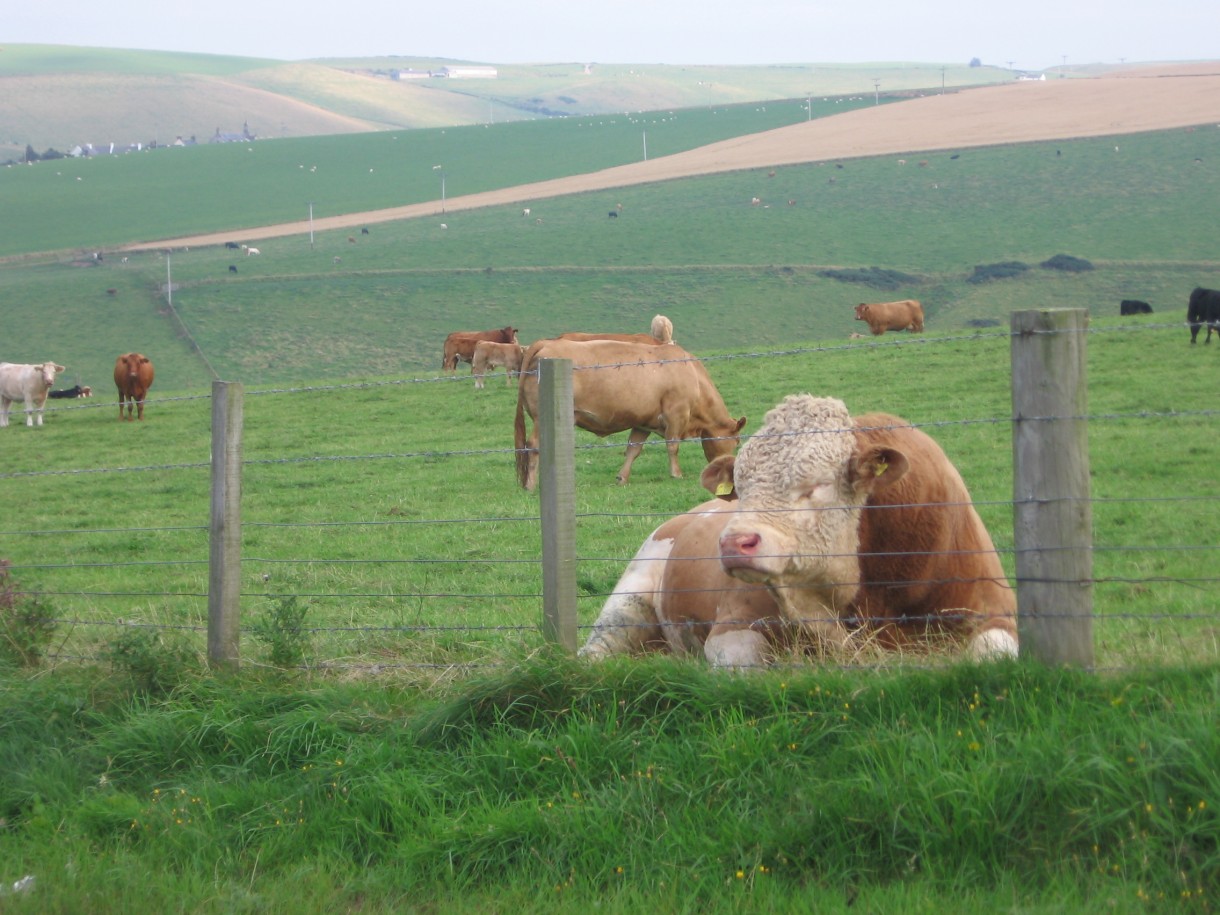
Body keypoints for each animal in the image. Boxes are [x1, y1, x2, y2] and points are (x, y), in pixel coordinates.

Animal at [512, 336, 741, 490]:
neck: (692, 376)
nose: (730, 473)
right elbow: (673, 446)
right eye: (737, 442)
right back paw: (530, 485)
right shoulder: (676, 414)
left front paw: (622, 477)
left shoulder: (643, 423)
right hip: (541, 419)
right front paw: (676, 474)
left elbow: (633, 449)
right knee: (533, 446)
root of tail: (545, 343)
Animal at [575, 392, 1015, 668]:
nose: (733, 542)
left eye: (814, 487)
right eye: (740, 489)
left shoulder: (998, 611)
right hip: (626, 606)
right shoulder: (734, 626)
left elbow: (993, 651)